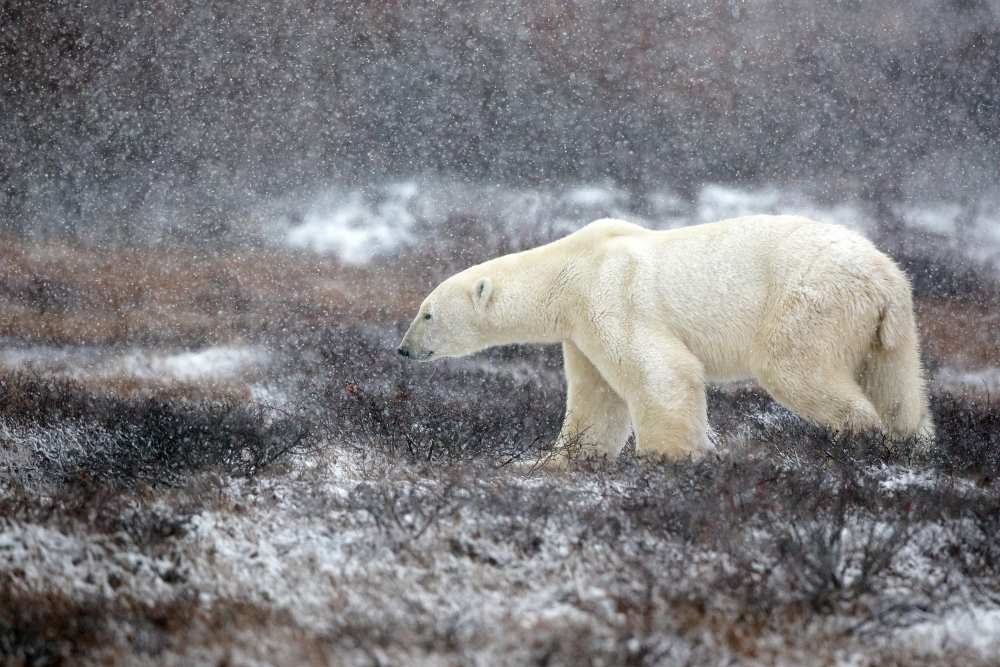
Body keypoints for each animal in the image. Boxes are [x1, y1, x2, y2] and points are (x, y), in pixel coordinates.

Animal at [398, 217, 936, 462]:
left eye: (427, 313)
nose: (402, 349)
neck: (573, 267)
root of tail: (883, 277)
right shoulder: (581, 329)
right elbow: (597, 399)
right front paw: (561, 460)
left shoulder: (612, 295)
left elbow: (659, 372)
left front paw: (666, 458)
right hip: (887, 328)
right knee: (898, 385)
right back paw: (913, 445)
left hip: (811, 302)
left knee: (796, 368)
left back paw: (854, 438)